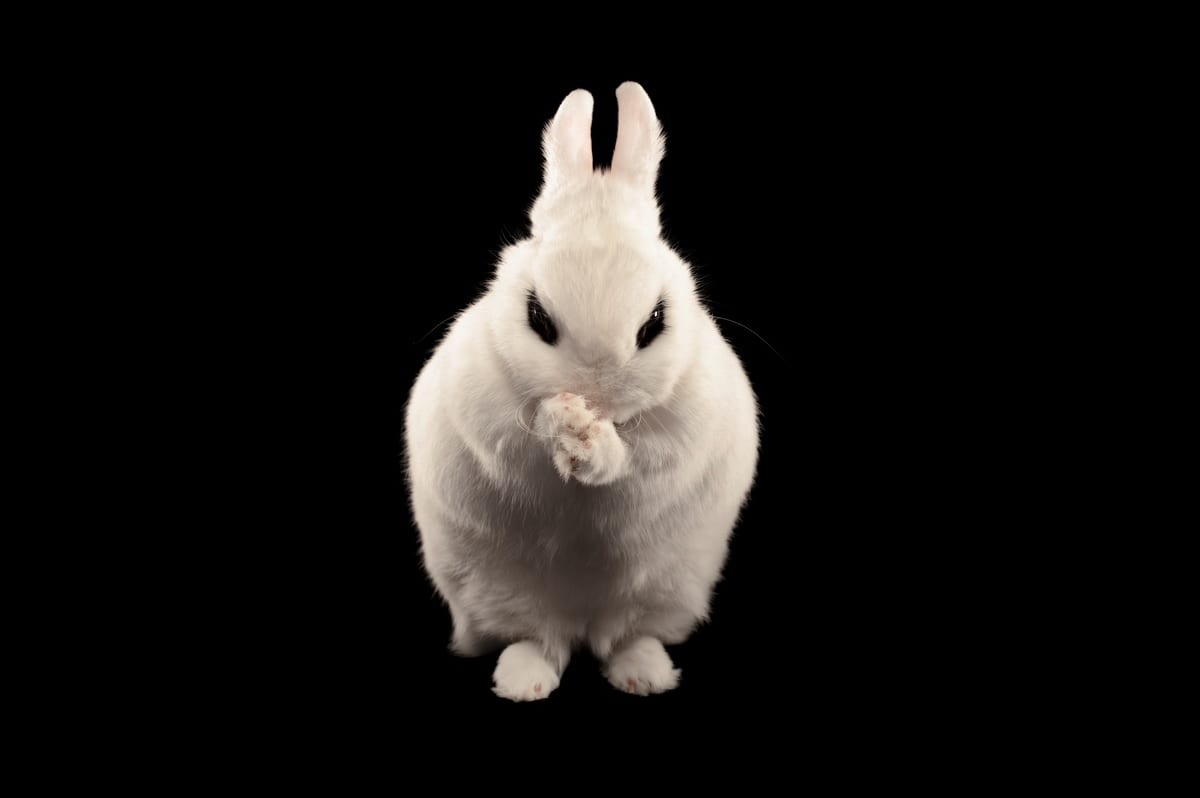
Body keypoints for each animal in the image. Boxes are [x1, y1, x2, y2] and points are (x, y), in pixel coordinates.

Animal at [404, 82, 759, 700]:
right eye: (537, 318)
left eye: (655, 322)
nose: (597, 395)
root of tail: (582, 622)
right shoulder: (489, 422)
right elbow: (525, 438)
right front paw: (564, 422)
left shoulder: (681, 431)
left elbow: (636, 459)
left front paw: (591, 445)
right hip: (498, 592)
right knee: (537, 639)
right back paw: (523, 682)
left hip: (665, 591)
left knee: (623, 637)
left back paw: (643, 675)